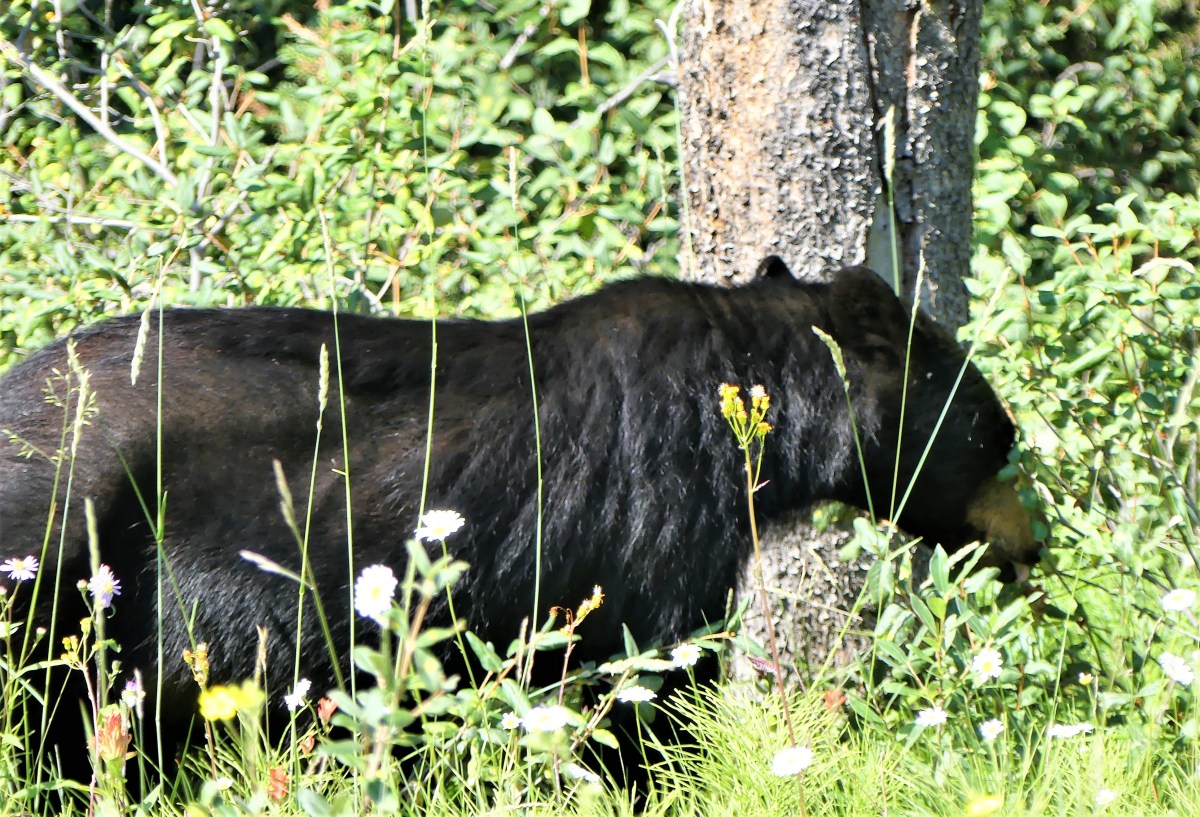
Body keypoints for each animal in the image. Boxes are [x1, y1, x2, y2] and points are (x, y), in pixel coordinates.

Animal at [0, 260, 1038, 789]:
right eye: (1000, 436)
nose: (1033, 546)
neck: (744, 404)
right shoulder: (654, 526)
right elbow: (643, 691)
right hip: (56, 548)